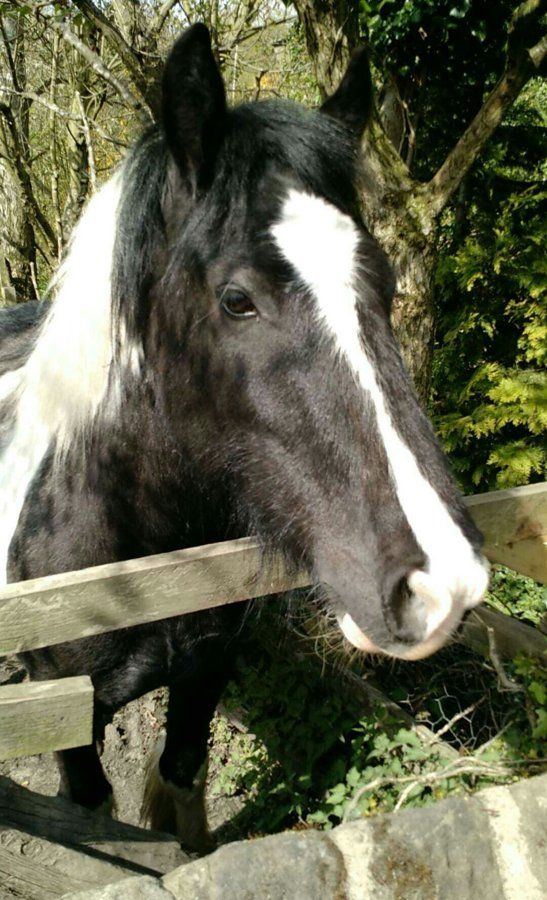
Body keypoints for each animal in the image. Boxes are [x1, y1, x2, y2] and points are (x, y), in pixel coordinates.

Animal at [0, 22, 488, 852]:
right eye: (236, 300)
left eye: (384, 281)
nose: (441, 585)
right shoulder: (61, 710)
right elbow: (91, 815)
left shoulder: (205, 671)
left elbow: (181, 778)